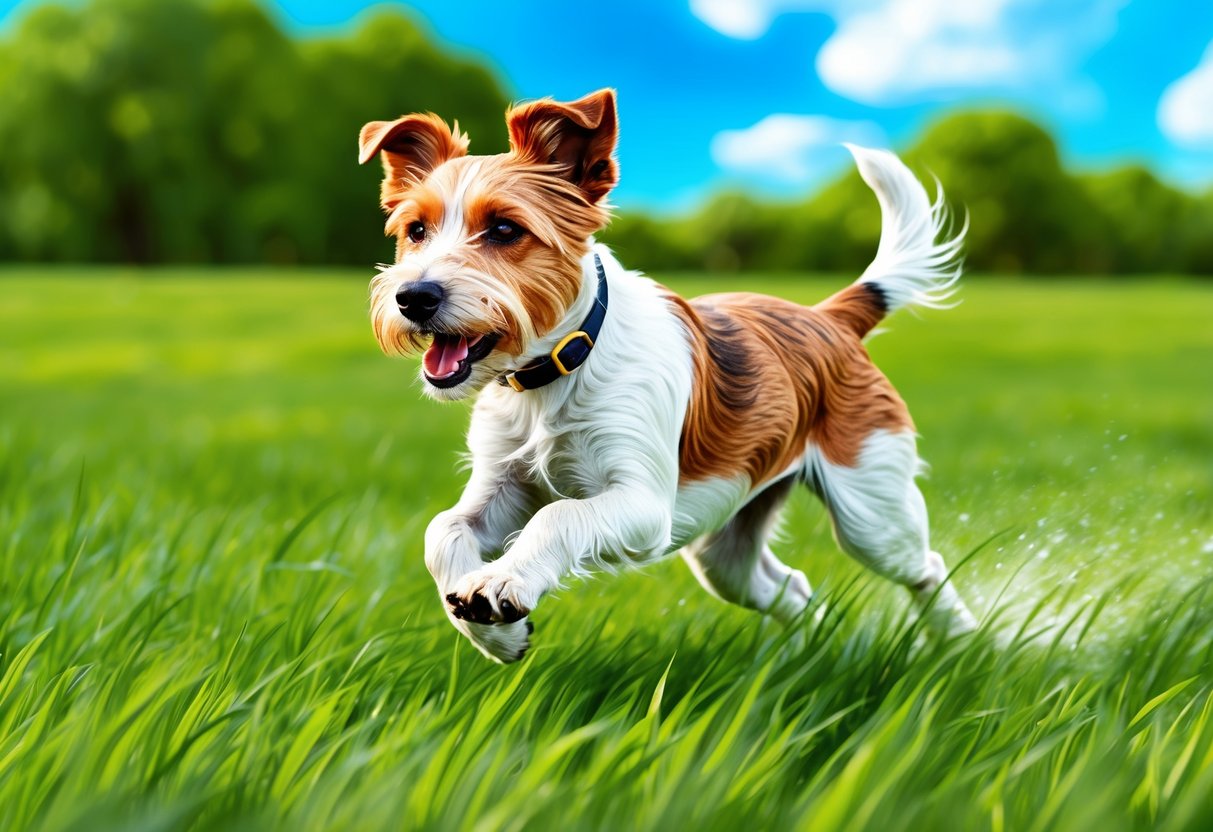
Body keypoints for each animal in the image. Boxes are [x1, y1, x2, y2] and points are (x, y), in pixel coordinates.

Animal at [356, 89, 975, 664]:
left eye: (506, 229)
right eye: (416, 230)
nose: (413, 297)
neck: (558, 368)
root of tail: (828, 317)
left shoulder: (644, 503)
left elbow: (559, 515)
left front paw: (501, 581)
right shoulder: (501, 483)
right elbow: (443, 530)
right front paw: (496, 633)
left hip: (871, 509)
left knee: (925, 567)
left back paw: (967, 648)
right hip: (728, 544)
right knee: (791, 589)